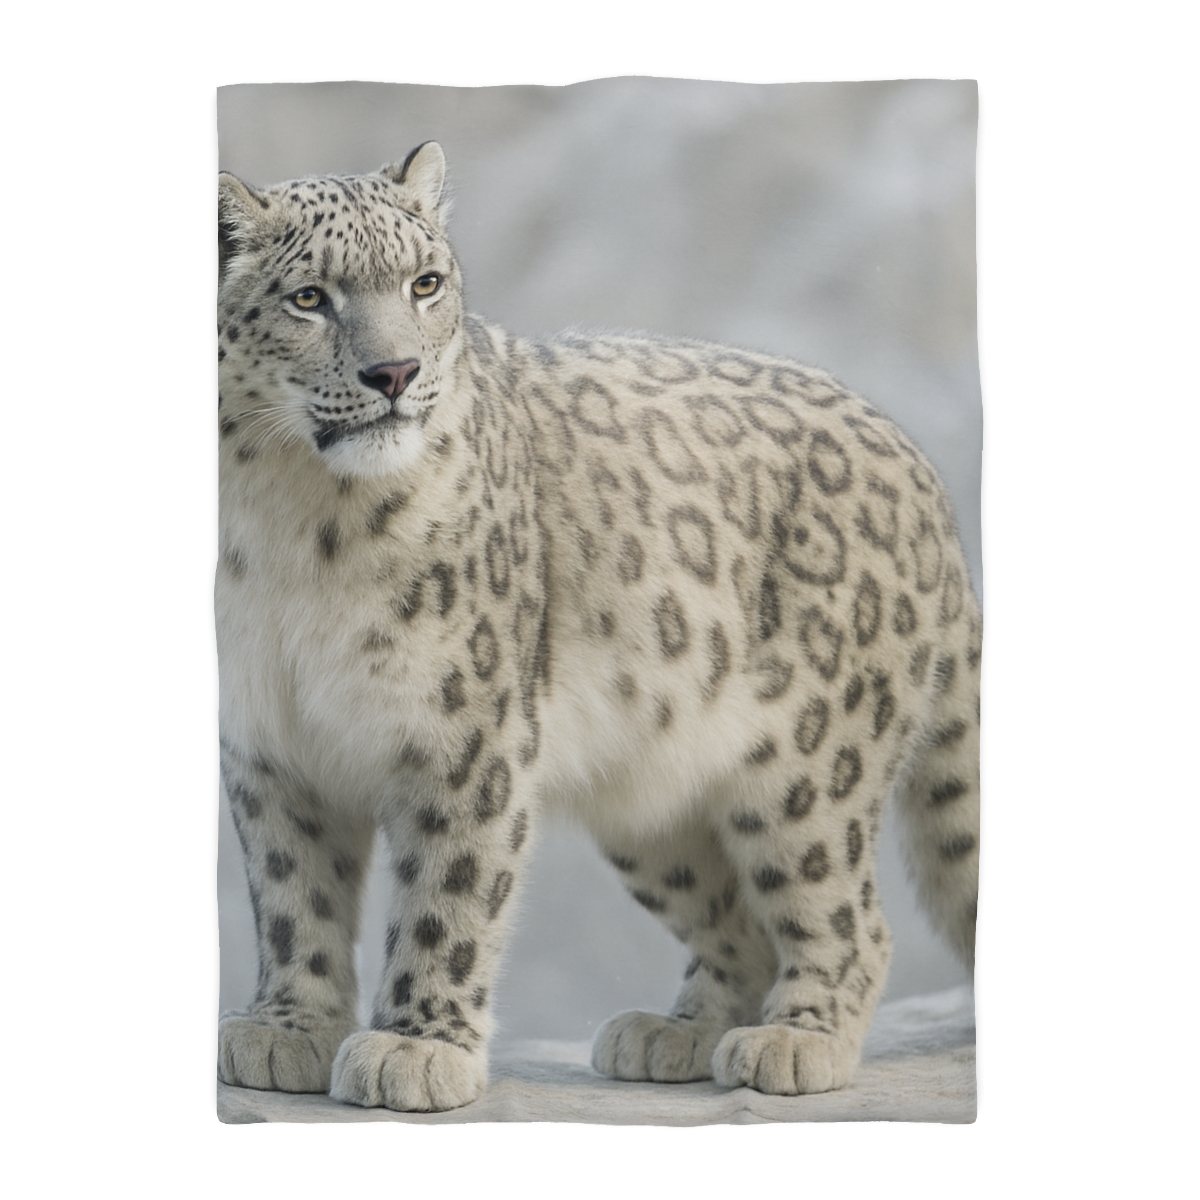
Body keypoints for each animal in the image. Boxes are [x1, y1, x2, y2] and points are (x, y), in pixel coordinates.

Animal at [216, 141, 980, 1113]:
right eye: (309, 297)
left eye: (425, 283)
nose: (394, 375)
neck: (291, 519)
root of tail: (925, 477)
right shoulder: (271, 743)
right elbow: (293, 896)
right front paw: (288, 1032)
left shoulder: (465, 731)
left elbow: (447, 891)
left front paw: (415, 1049)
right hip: (651, 808)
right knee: (737, 919)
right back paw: (673, 1032)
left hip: (811, 771)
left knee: (845, 915)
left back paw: (794, 1040)